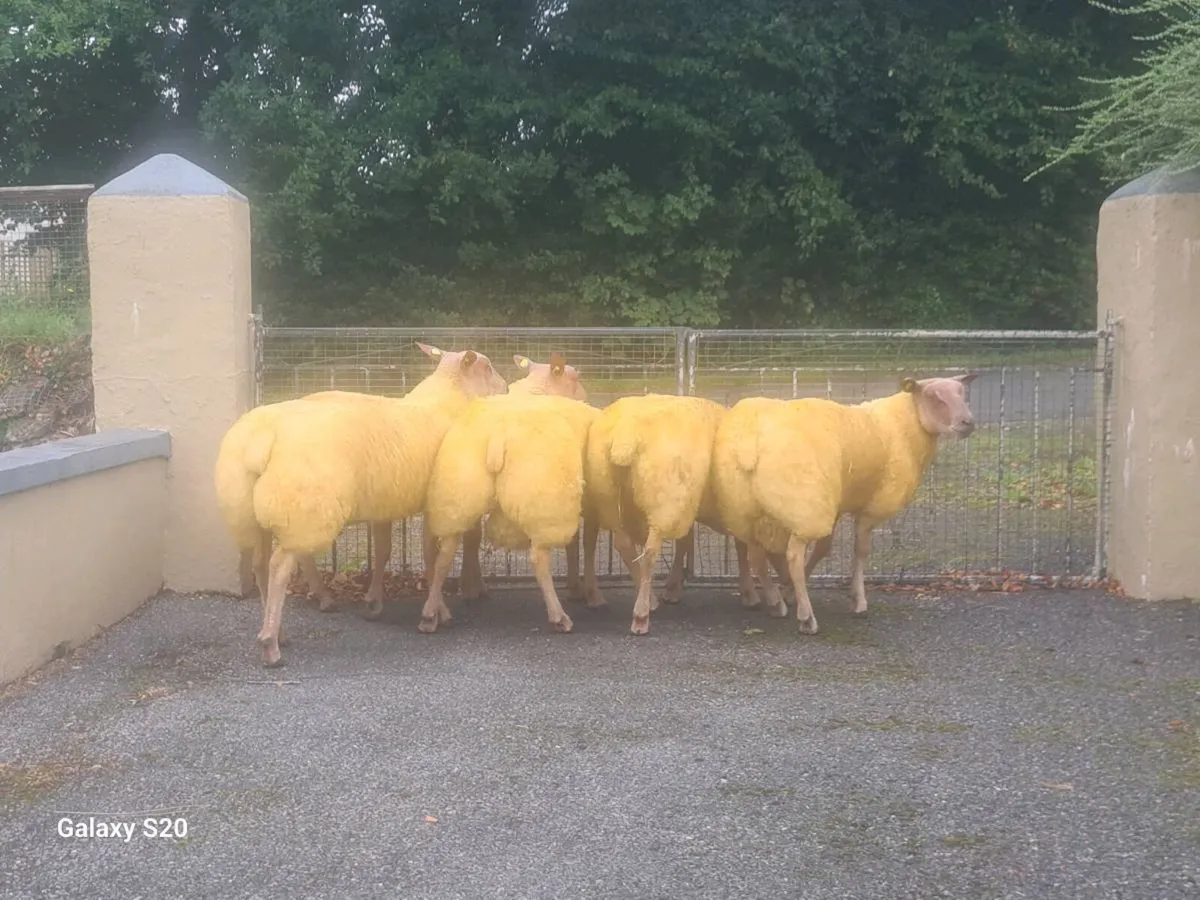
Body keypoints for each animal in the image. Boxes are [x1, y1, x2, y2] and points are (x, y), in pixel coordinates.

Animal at [213, 343, 507, 666]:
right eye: (487, 366)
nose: (506, 387)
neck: (448, 401)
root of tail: (261, 438)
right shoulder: (437, 502)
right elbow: (434, 558)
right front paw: (436, 612)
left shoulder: (385, 502)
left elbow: (383, 551)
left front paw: (374, 602)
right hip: (304, 506)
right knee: (280, 566)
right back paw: (271, 644)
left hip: (256, 511)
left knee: (261, 564)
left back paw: (282, 629)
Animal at [419, 393, 599, 634]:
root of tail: (498, 431)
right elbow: (585, 546)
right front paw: (591, 595)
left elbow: (575, 546)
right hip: (547, 504)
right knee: (539, 559)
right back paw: (559, 616)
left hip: (457, 494)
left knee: (444, 556)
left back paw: (430, 615)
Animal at [582, 393, 730, 634]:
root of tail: (625, 436)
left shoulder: (687, 504)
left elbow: (686, 541)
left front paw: (673, 588)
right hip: (663, 500)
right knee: (650, 552)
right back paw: (641, 614)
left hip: (607, 495)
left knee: (623, 544)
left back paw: (649, 600)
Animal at [711, 374, 977, 635]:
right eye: (933, 396)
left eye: (962, 392)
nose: (968, 423)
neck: (901, 426)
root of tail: (748, 441)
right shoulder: (871, 507)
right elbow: (861, 551)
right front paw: (858, 600)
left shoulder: (837, 505)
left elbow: (823, 549)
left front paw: (789, 593)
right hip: (804, 506)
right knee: (792, 556)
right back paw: (806, 618)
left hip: (748, 509)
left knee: (753, 554)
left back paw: (774, 601)